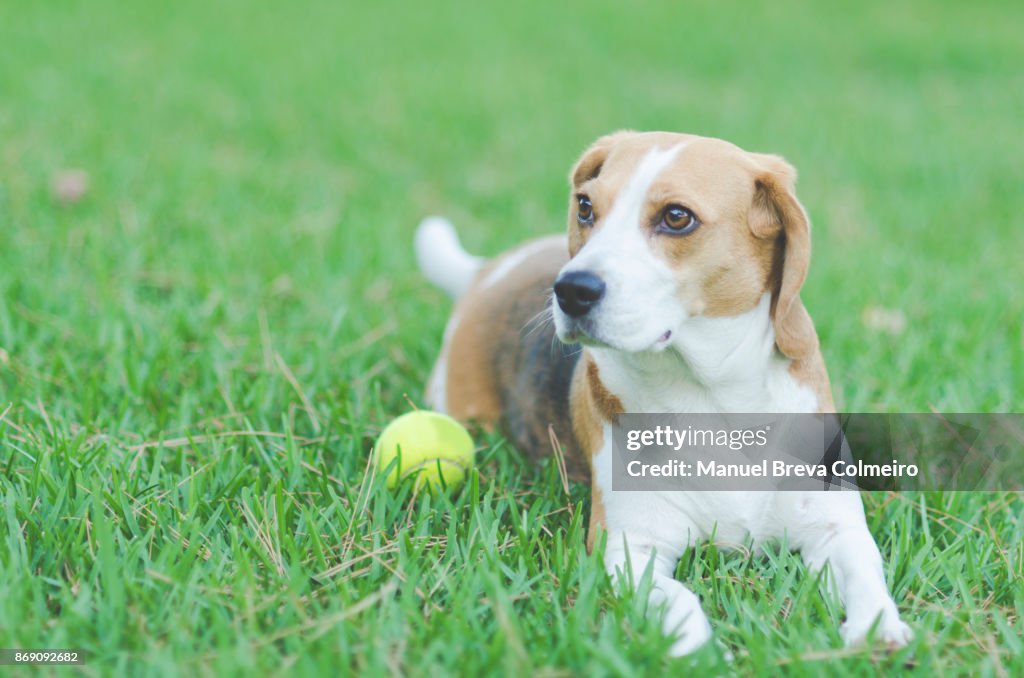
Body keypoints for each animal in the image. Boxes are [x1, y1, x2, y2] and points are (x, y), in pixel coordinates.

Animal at [413, 131, 913, 659]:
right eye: (586, 207)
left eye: (676, 217)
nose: (569, 290)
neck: (714, 401)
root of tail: (490, 270)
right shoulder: (629, 550)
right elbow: (681, 601)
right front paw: (703, 654)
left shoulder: (835, 527)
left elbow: (864, 572)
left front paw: (877, 628)